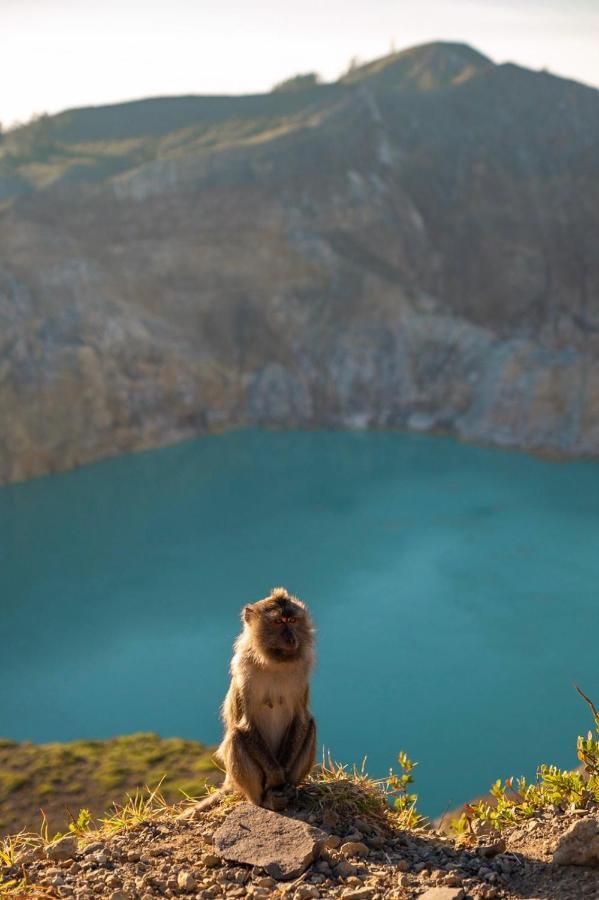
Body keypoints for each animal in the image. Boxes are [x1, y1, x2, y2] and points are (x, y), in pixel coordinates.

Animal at [182, 588, 314, 820]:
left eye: (292, 620)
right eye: (278, 622)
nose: (291, 638)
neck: (274, 663)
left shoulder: (303, 670)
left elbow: (301, 719)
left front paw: (284, 775)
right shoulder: (244, 670)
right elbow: (245, 725)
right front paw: (276, 776)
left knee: (311, 726)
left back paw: (290, 790)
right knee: (235, 737)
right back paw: (265, 800)